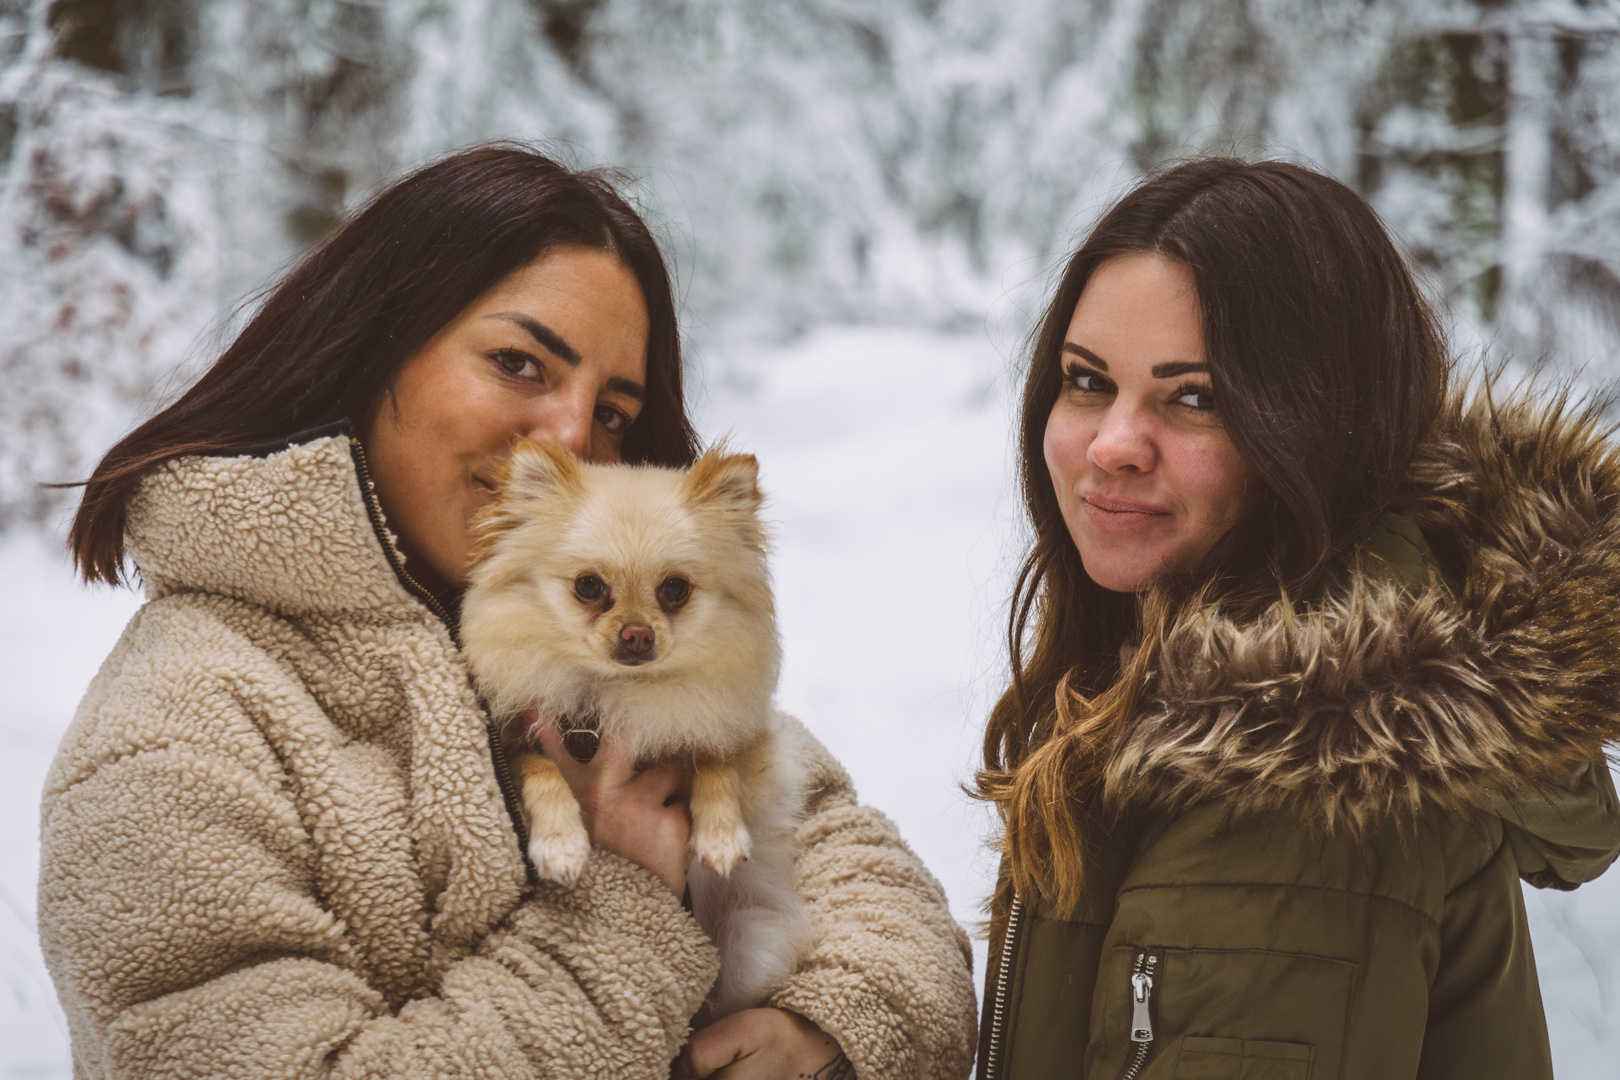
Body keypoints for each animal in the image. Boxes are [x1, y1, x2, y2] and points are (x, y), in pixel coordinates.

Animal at [460, 437, 816, 1016]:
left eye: (674, 589)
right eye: (588, 586)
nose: (636, 634)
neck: (617, 692)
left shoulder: (728, 724)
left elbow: (716, 758)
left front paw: (720, 834)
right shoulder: (516, 735)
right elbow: (540, 769)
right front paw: (561, 843)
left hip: (753, 947)